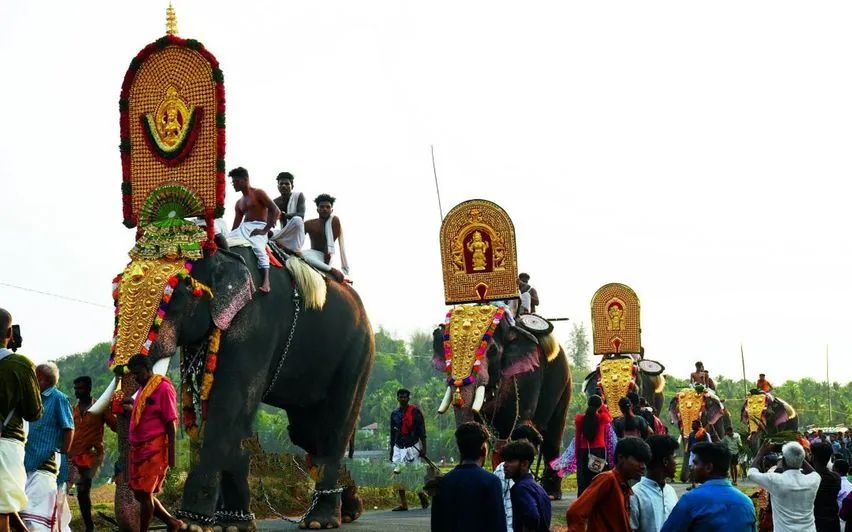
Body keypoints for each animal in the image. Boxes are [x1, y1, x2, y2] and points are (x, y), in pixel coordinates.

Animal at [91, 247, 374, 528]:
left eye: (176, 296)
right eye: (115, 298)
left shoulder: (254, 325)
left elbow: (229, 407)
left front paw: (193, 523)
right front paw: (231, 524)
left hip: (357, 353)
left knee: (332, 427)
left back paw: (319, 521)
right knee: (305, 433)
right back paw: (350, 510)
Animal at [432, 308, 572, 498]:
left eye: (492, 351)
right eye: (448, 353)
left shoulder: (531, 373)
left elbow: (520, 423)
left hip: (563, 380)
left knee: (553, 435)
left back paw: (551, 493)